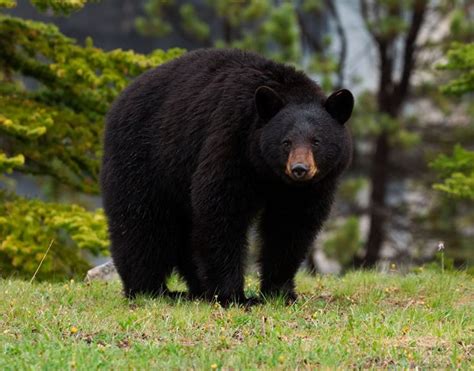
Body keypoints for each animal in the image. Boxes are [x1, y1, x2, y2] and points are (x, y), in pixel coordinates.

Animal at [102, 48, 354, 306]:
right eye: (286, 142)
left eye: (316, 141)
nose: (300, 169)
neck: (268, 172)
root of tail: (120, 98)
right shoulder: (231, 141)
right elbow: (221, 210)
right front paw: (233, 296)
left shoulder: (307, 189)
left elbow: (290, 224)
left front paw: (280, 292)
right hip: (143, 157)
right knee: (141, 223)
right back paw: (150, 290)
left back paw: (196, 288)